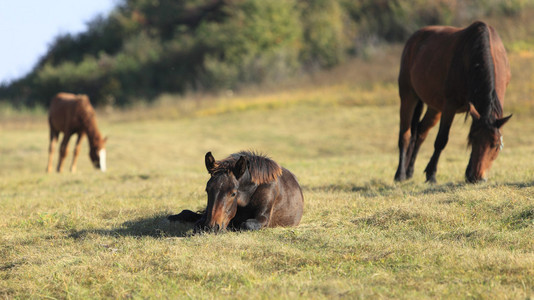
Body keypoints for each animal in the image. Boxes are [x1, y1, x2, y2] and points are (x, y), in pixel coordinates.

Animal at [170, 151, 308, 233]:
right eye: (207, 190)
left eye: (233, 193)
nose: (212, 227)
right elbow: (197, 221)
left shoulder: (263, 218)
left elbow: (246, 224)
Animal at [394, 21, 516, 183]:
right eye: (473, 141)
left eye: (495, 144)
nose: (478, 177)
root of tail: (414, 38)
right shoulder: (450, 106)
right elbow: (441, 140)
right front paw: (431, 175)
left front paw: (467, 173)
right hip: (408, 95)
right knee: (405, 135)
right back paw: (400, 174)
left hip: (435, 107)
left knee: (420, 132)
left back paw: (409, 171)